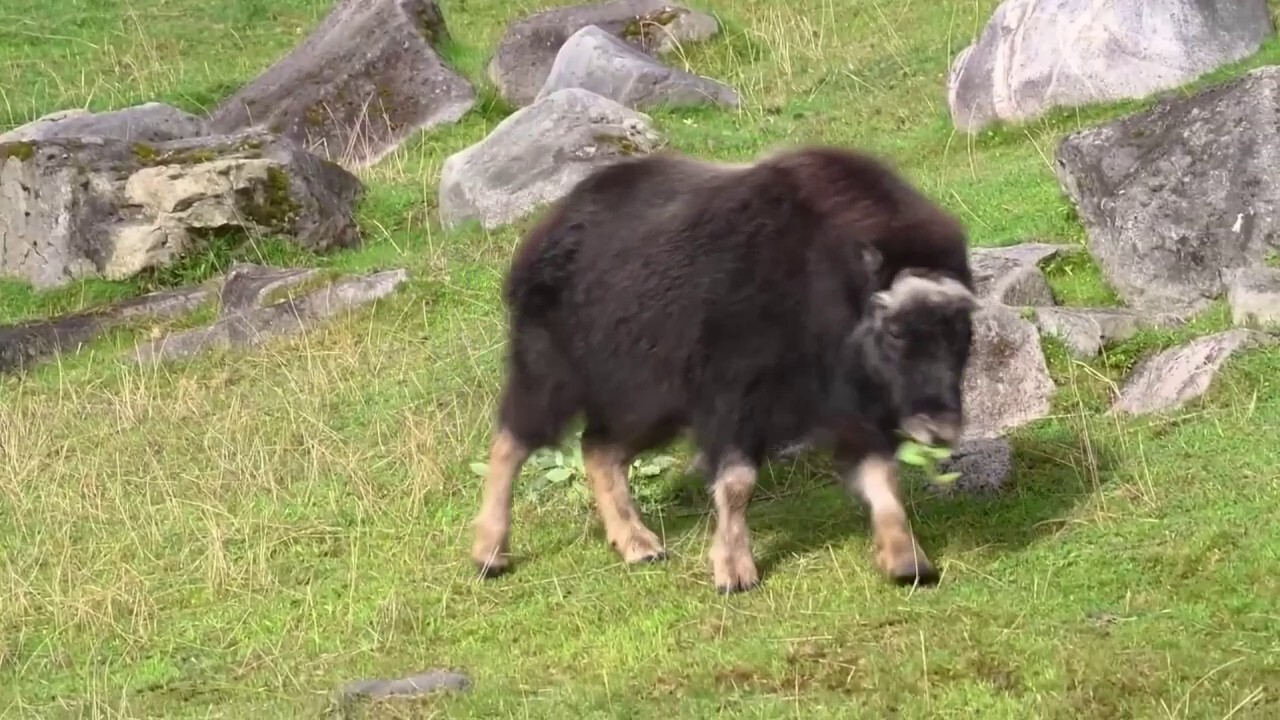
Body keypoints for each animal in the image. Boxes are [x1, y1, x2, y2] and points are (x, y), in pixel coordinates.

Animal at [471, 144, 977, 589]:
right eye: (896, 332)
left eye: (962, 331)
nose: (941, 430)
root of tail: (548, 226)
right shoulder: (734, 399)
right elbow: (737, 482)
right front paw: (734, 572)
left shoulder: (855, 409)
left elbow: (882, 475)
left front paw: (907, 562)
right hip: (551, 372)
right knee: (513, 441)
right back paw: (490, 554)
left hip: (647, 405)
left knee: (597, 448)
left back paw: (639, 545)